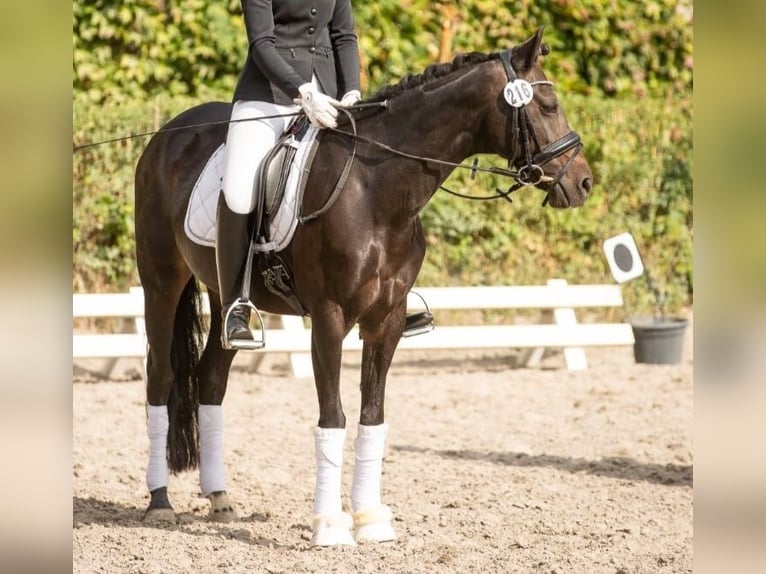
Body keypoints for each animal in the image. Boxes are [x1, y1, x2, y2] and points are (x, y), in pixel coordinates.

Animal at [135, 28, 596, 548]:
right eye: (550, 104)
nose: (584, 183)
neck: (376, 188)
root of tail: (167, 133)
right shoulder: (329, 318)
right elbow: (332, 417)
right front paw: (330, 525)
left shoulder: (386, 320)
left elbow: (372, 416)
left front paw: (370, 518)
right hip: (161, 280)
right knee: (160, 377)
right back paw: (160, 502)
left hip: (223, 293)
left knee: (212, 376)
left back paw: (220, 498)